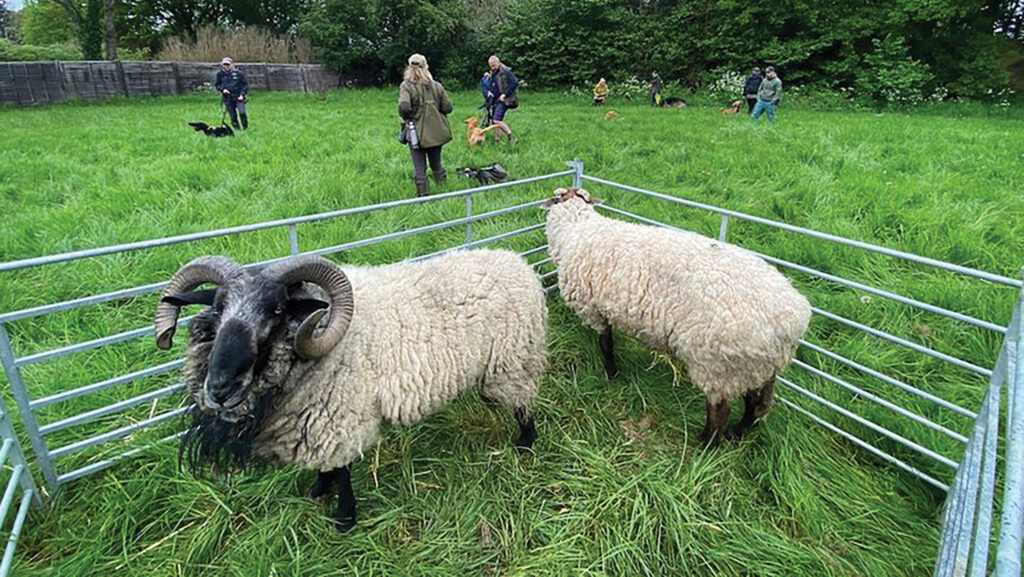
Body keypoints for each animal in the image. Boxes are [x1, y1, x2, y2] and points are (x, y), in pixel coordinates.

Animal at [154, 250, 547, 531]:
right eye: (217, 307)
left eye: (278, 309)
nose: (220, 387)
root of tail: (517, 262)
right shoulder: (309, 421)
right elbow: (323, 468)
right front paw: (317, 491)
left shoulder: (335, 417)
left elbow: (341, 470)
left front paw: (344, 518)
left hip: (514, 359)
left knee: (523, 403)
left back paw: (525, 443)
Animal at [543, 187, 811, 446]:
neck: (578, 227)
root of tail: (794, 318)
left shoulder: (593, 308)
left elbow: (606, 345)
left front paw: (611, 375)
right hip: (756, 367)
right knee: (756, 406)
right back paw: (737, 434)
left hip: (717, 365)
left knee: (720, 411)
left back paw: (705, 444)